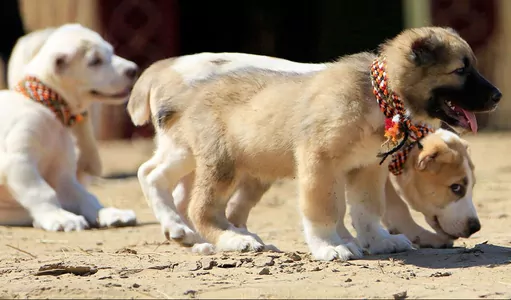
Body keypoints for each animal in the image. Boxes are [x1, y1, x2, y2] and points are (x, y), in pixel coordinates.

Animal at [0, 24, 138, 232]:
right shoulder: (18, 161)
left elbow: (86, 197)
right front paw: (59, 217)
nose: (134, 69)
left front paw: (108, 213)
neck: (46, 107)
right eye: (95, 61)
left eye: (111, 52)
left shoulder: (62, 173)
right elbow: (41, 192)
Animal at [131, 27, 500, 260]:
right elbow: (325, 209)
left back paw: (201, 238)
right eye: (461, 70)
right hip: (216, 162)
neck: (379, 100)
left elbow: (367, 209)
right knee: (184, 197)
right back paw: (231, 239)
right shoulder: (320, 162)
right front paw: (330, 247)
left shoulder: (366, 168)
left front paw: (376, 241)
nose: (498, 96)